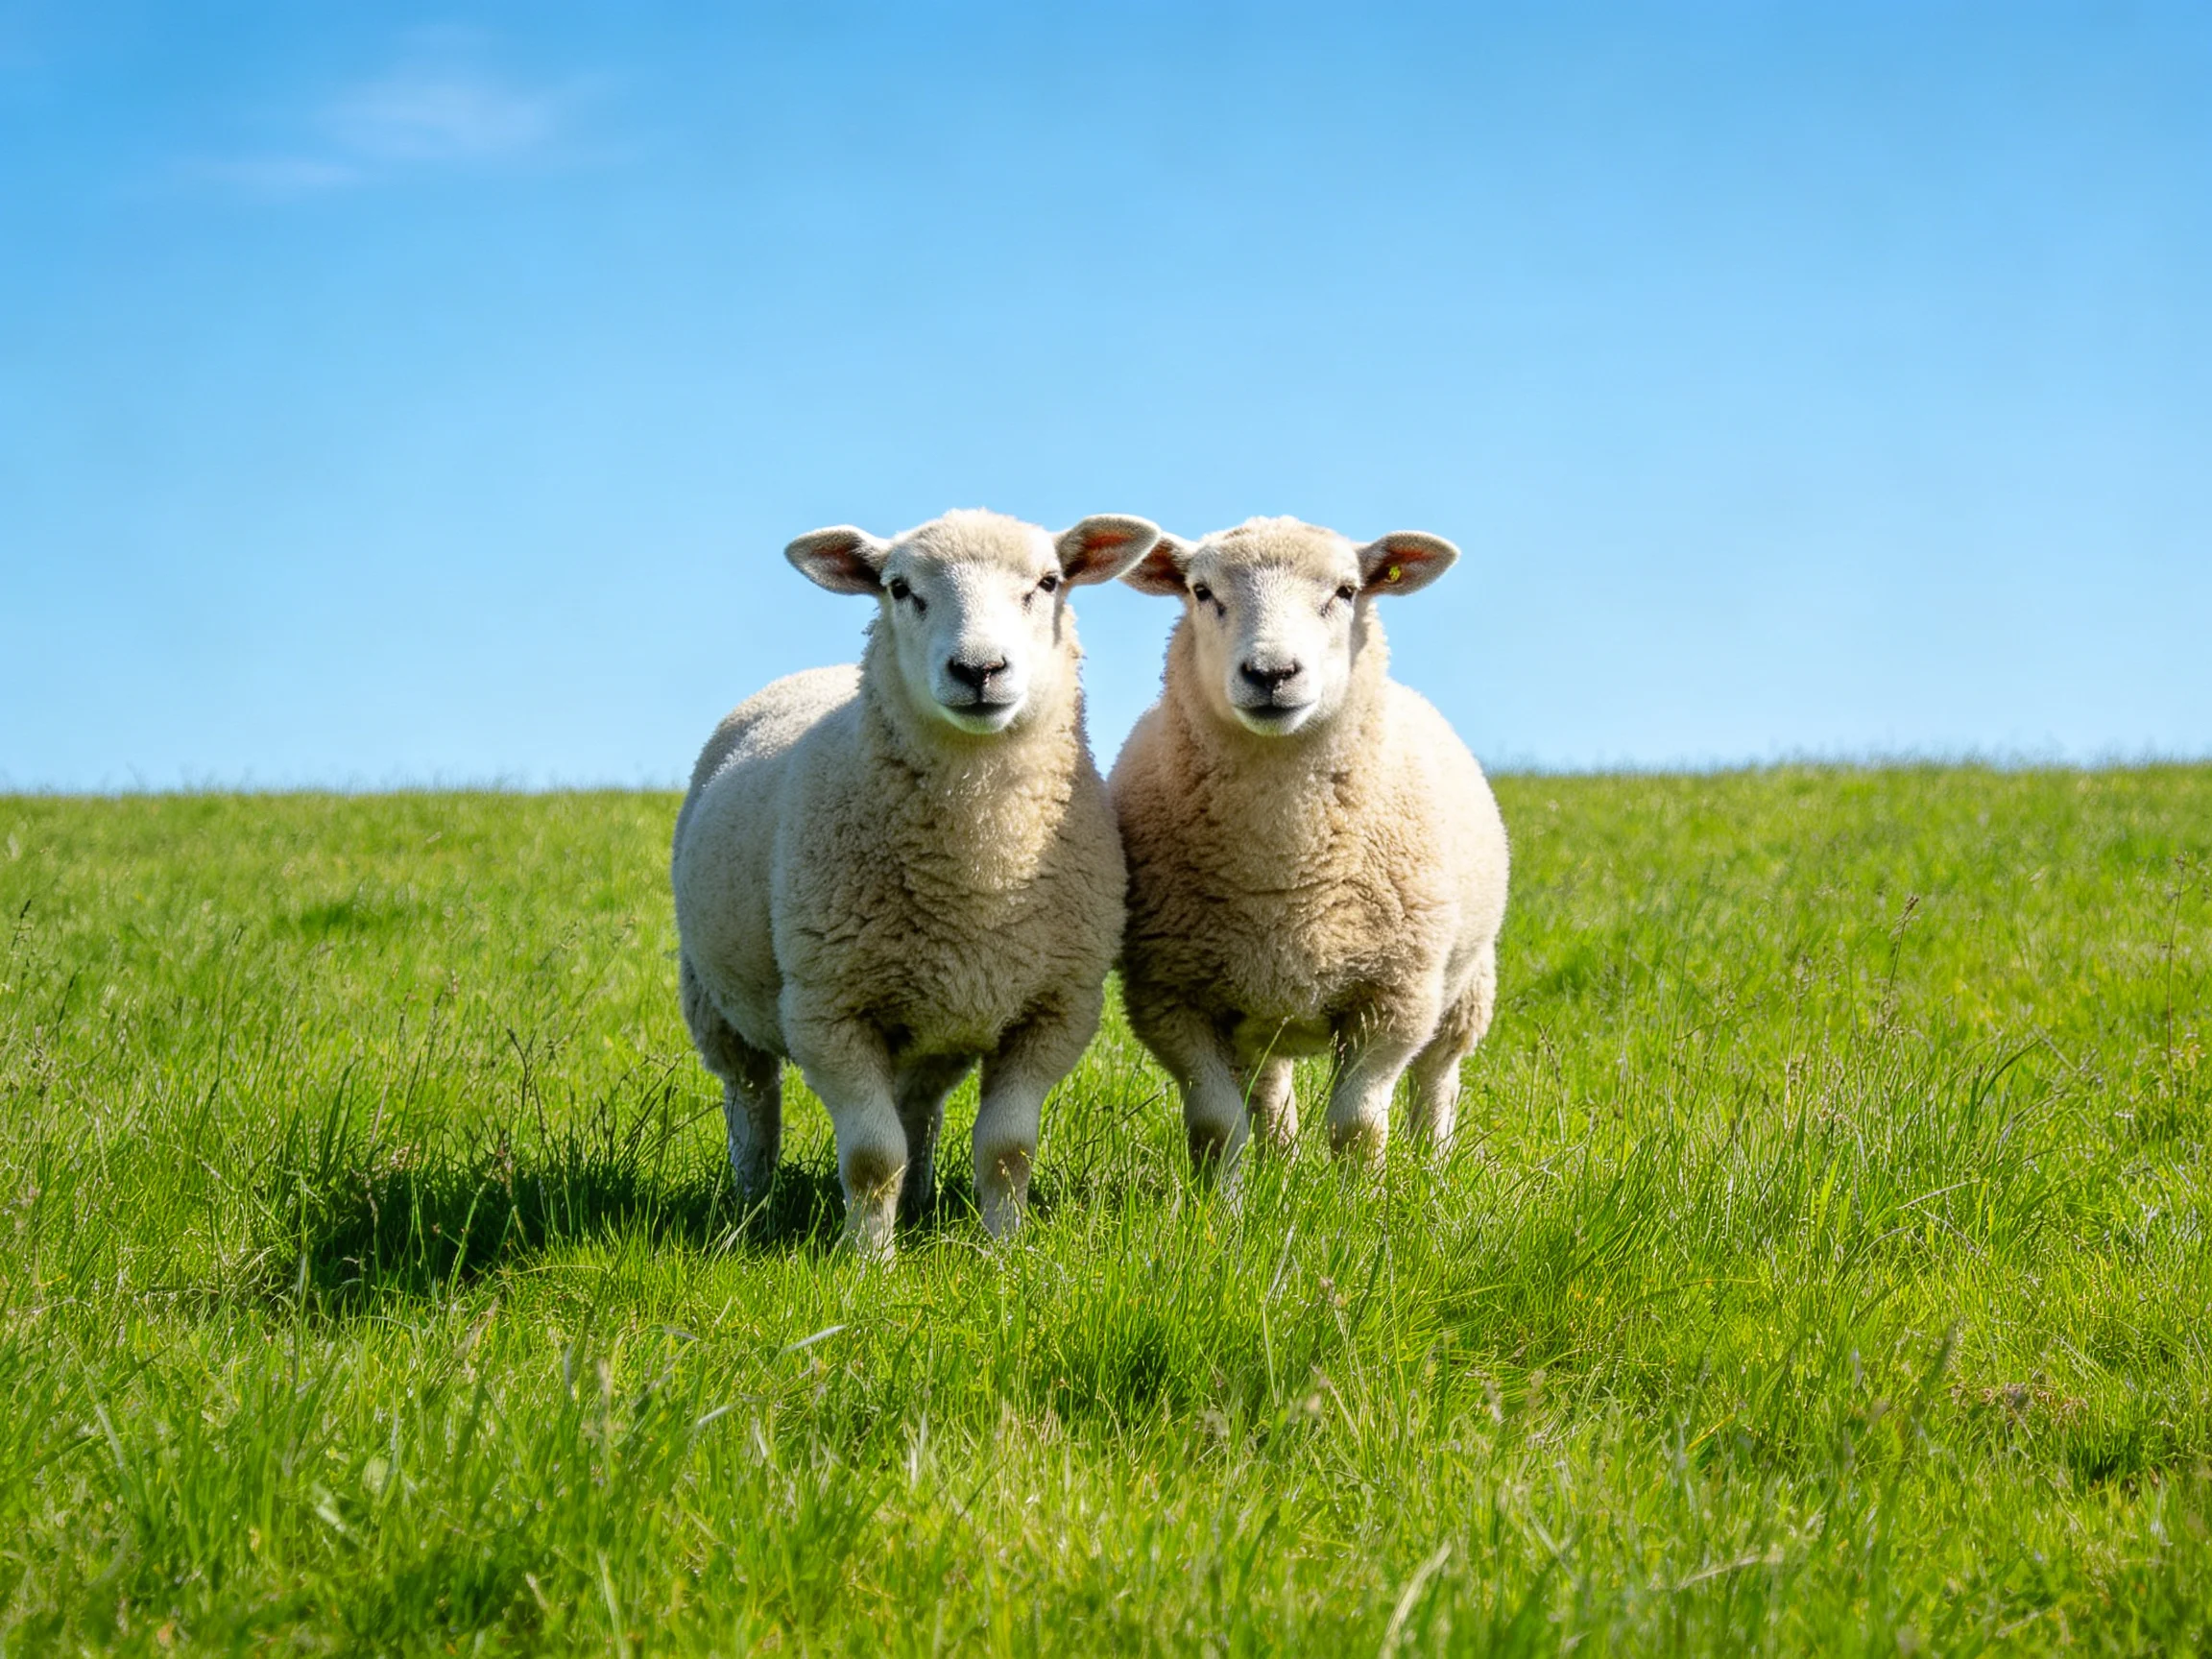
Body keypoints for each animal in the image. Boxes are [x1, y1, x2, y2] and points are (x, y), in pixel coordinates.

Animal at [672, 508, 1161, 1257]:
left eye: (1048, 583)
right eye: (899, 589)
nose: (979, 668)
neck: (982, 862)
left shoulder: (1054, 1010)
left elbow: (1006, 1149)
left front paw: (1004, 1252)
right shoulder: (829, 1012)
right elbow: (873, 1156)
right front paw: (869, 1262)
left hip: (938, 1018)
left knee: (918, 1107)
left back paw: (922, 1201)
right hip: (714, 1000)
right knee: (752, 1103)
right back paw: (751, 1205)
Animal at [1107, 515, 1509, 1180]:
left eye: (1346, 591)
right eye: (1201, 592)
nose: (1271, 674)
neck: (1282, 865)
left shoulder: (1395, 997)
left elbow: (1358, 1126)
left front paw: (1359, 1199)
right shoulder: (1172, 1000)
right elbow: (1217, 1124)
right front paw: (1222, 1202)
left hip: (1465, 982)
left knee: (1438, 1078)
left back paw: (1432, 1167)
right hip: (1258, 1003)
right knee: (1271, 1091)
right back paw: (1280, 1167)